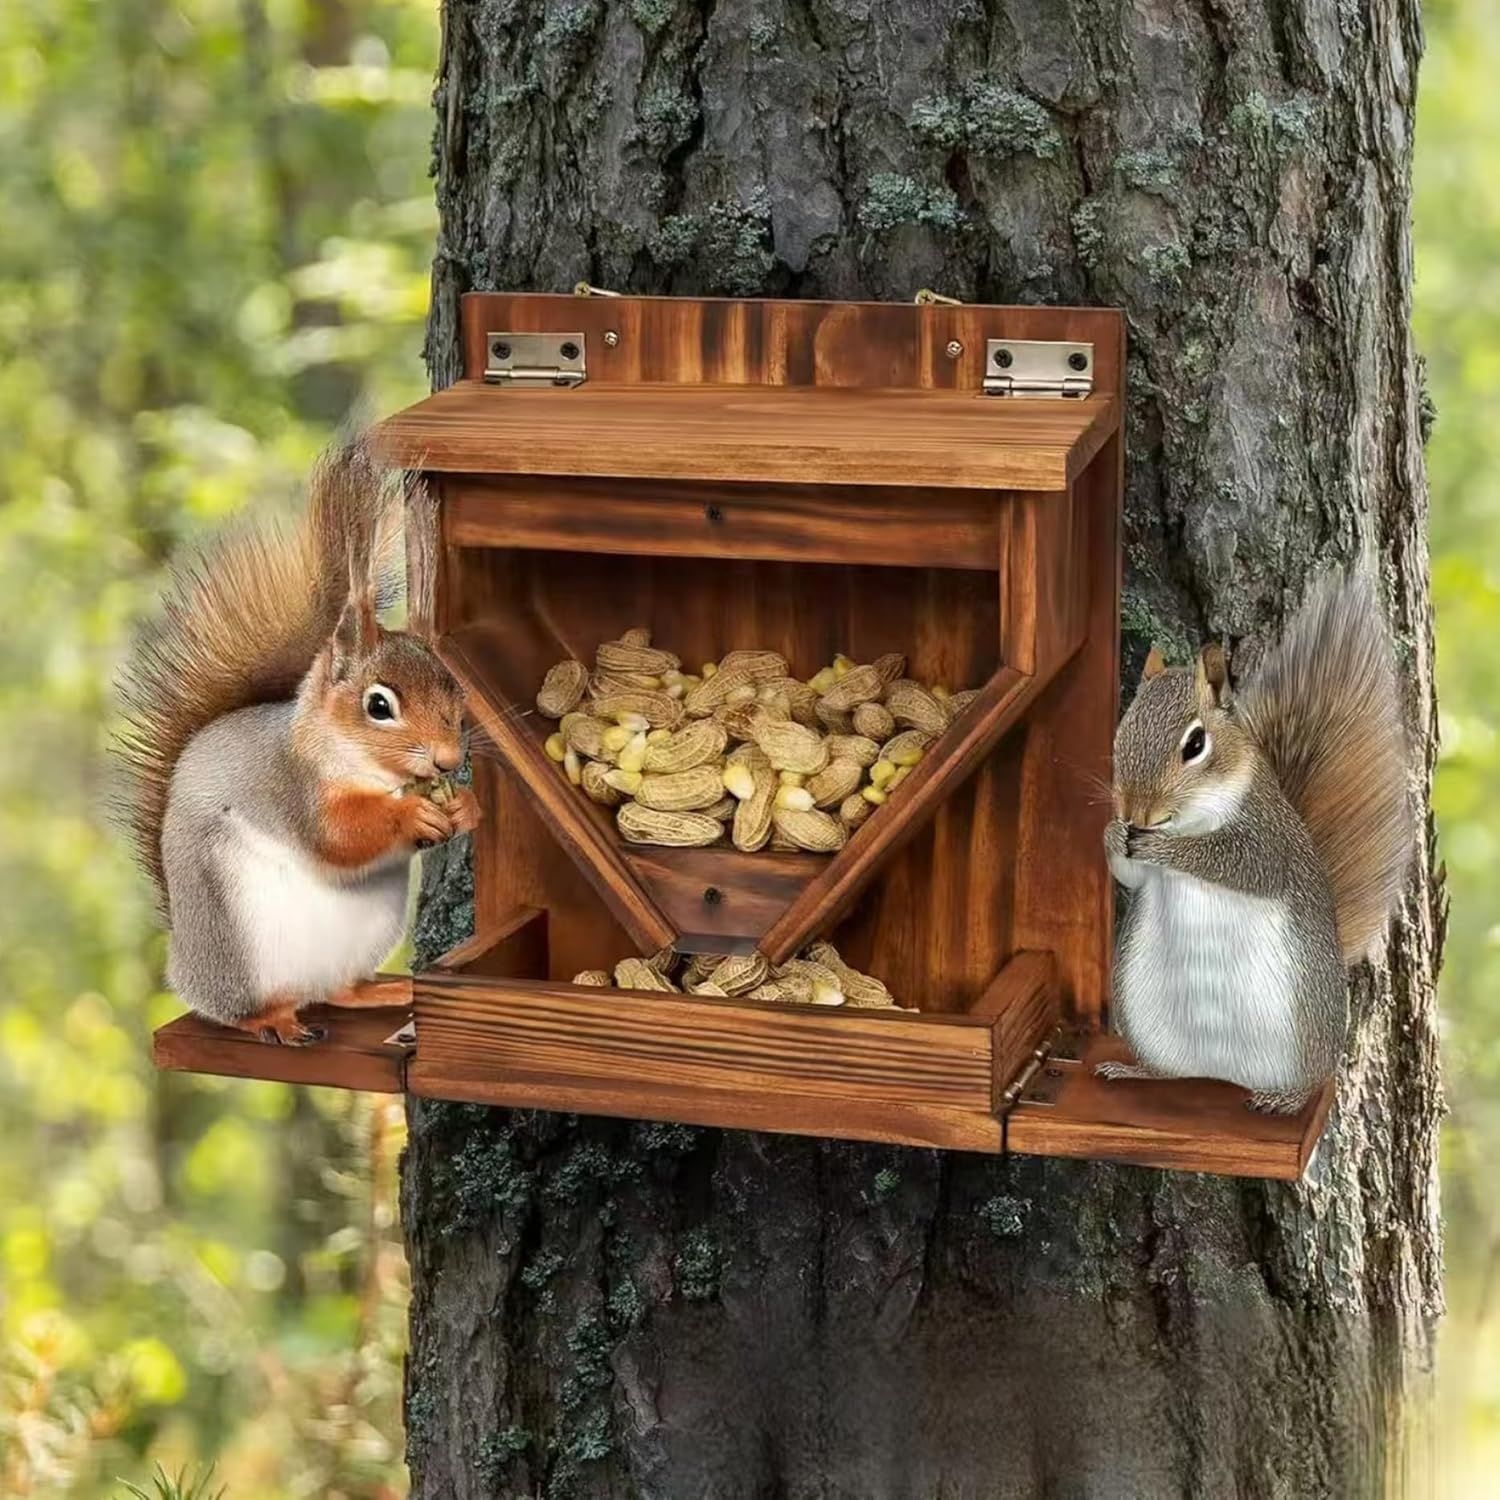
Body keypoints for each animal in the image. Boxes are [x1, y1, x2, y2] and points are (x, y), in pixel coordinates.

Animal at [114, 439, 480, 1046]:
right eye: (379, 706)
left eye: (454, 689)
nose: (450, 760)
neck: (364, 768)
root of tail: (185, 964)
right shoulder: (292, 788)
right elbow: (338, 835)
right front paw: (410, 817)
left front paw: (466, 807)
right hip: (237, 942)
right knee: (243, 1008)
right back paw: (276, 1021)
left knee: (338, 990)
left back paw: (383, 992)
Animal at [1102, 571, 1411, 1113]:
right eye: (1121, 731)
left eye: (1195, 744)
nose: (1135, 813)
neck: (1190, 818)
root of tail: (1225, 1074)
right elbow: (1131, 876)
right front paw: (1114, 834)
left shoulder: (1269, 841)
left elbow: (1241, 865)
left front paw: (1168, 849)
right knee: (1173, 1072)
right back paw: (1137, 1072)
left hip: (1306, 1033)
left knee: (1313, 1080)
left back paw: (1284, 1100)